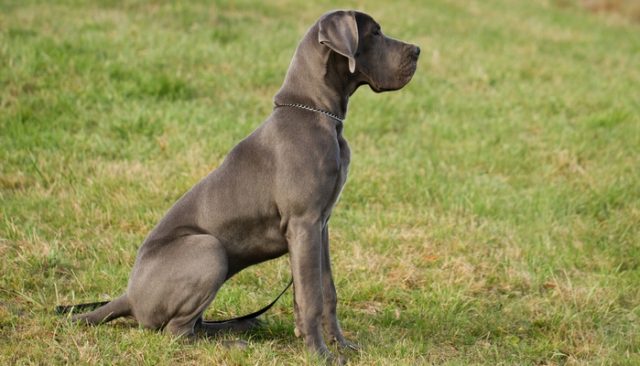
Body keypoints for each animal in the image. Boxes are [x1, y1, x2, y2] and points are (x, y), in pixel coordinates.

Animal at [70, 10, 420, 362]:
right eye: (374, 33)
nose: (417, 50)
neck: (316, 113)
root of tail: (128, 296)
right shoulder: (304, 222)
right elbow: (311, 296)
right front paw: (320, 354)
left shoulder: (321, 225)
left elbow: (326, 290)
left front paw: (340, 344)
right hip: (207, 249)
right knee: (176, 332)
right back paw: (230, 342)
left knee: (194, 325)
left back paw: (236, 328)